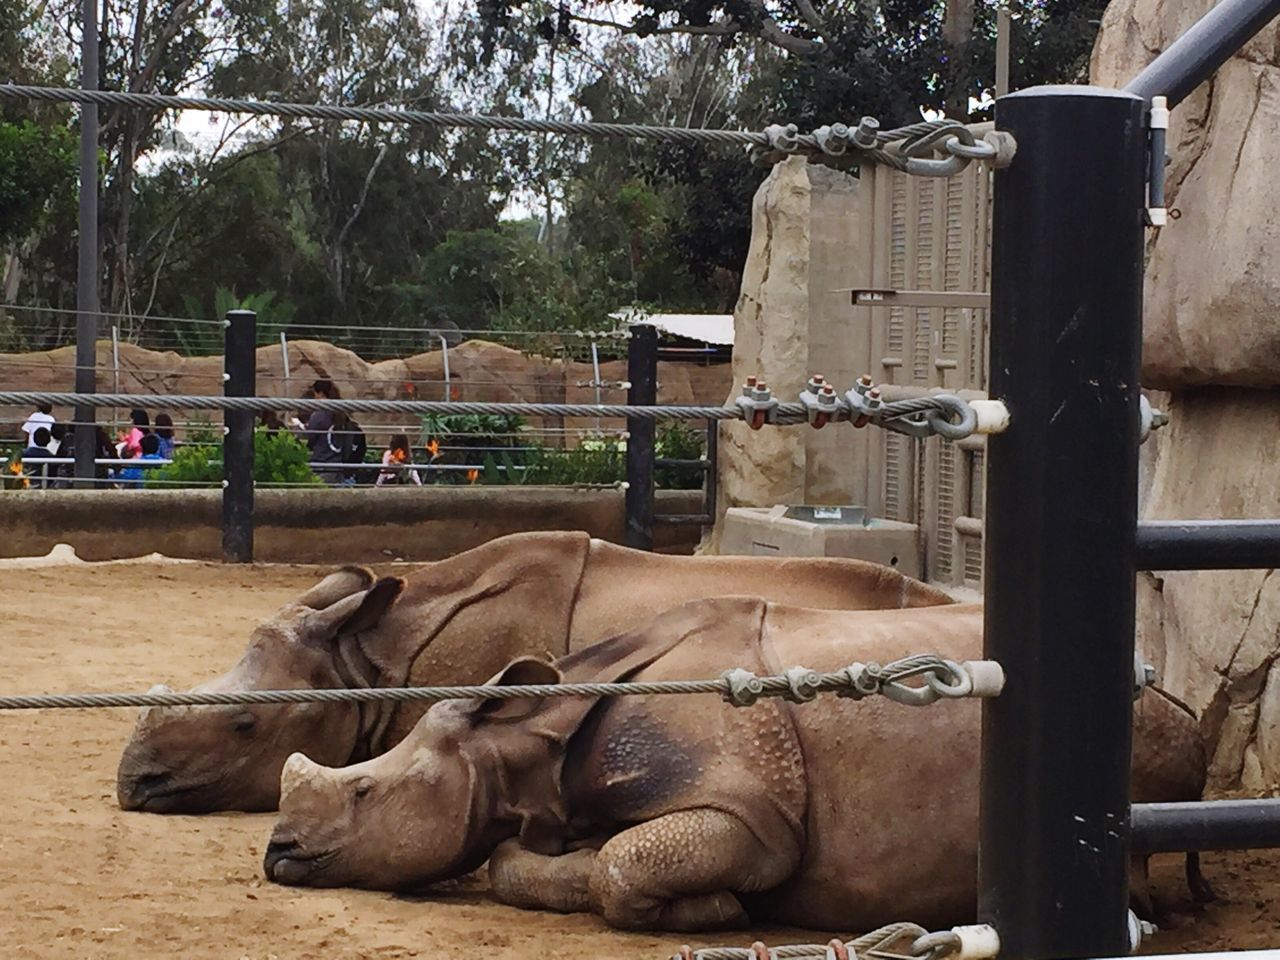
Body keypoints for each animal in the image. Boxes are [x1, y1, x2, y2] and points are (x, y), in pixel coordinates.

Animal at [264, 601, 1203, 931]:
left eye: (365, 788)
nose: (275, 855)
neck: (529, 740)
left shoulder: (753, 816)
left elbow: (624, 863)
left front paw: (714, 911)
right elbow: (520, 860)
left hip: (1143, 720)